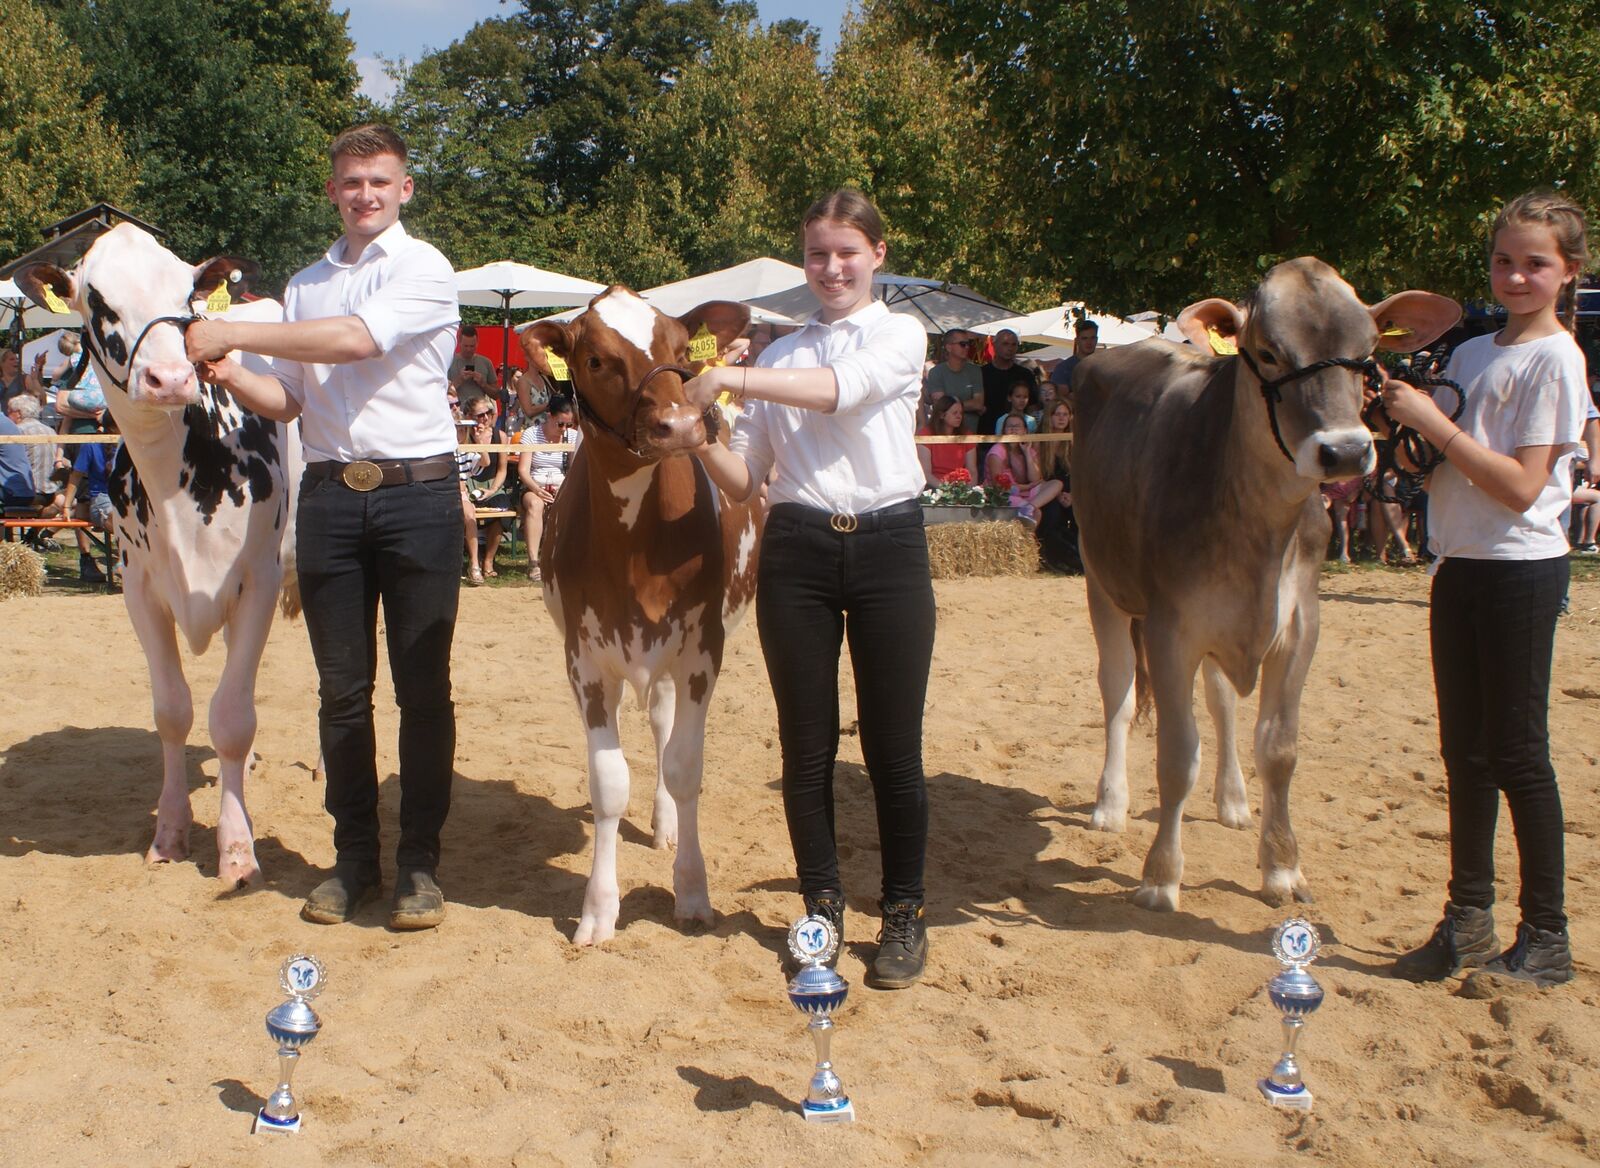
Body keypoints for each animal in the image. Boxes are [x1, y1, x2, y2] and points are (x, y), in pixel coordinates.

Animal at [17, 225, 300, 883]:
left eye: (187, 296)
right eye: (98, 303)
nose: (171, 378)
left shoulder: (260, 580)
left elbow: (232, 719)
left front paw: (237, 850)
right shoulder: (140, 589)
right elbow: (175, 711)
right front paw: (170, 833)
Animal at [515, 286, 758, 940]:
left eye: (680, 349)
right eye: (596, 359)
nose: (683, 426)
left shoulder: (703, 652)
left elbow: (685, 767)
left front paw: (693, 891)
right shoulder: (586, 662)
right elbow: (608, 782)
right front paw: (599, 910)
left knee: (665, 731)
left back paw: (667, 825)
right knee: (653, 720)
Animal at [1075, 259, 1465, 915]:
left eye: (1367, 356)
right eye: (1266, 352)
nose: (1346, 451)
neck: (1258, 530)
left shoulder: (1299, 625)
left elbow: (1278, 750)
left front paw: (1282, 867)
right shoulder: (1170, 628)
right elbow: (1176, 755)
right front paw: (1160, 877)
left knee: (1222, 701)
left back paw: (1233, 801)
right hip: (1101, 579)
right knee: (1119, 692)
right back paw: (1110, 803)